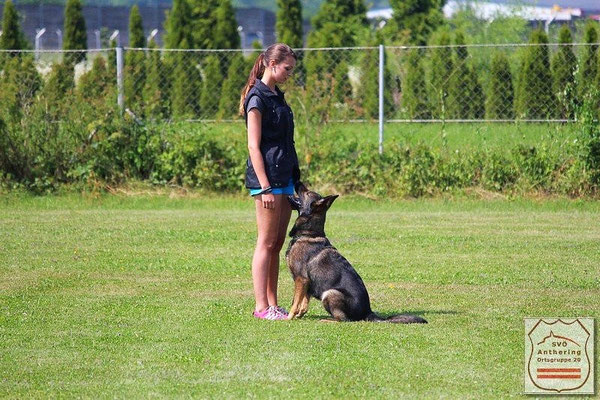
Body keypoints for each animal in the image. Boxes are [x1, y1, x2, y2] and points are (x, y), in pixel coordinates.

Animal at [284, 183, 426, 324]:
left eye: (307, 192)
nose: (297, 182)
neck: (309, 234)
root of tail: (367, 312)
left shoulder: (301, 279)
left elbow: (295, 303)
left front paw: (288, 318)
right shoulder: (307, 283)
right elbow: (304, 303)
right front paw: (299, 315)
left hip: (330, 293)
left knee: (344, 319)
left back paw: (327, 320)